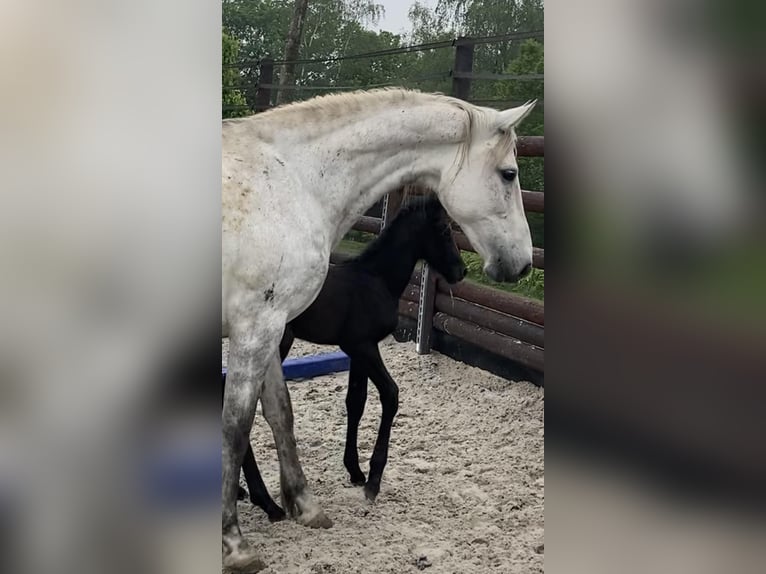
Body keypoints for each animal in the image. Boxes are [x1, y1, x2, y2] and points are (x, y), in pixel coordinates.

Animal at [232, 195, 466, 521]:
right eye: (444, 230)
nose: (461, 271)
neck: (377, 279)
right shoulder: (364, 345)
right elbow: (390, 394)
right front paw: (373, 482)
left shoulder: (357, 350)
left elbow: (356, 400)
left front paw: (355, 471)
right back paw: (263, 501)